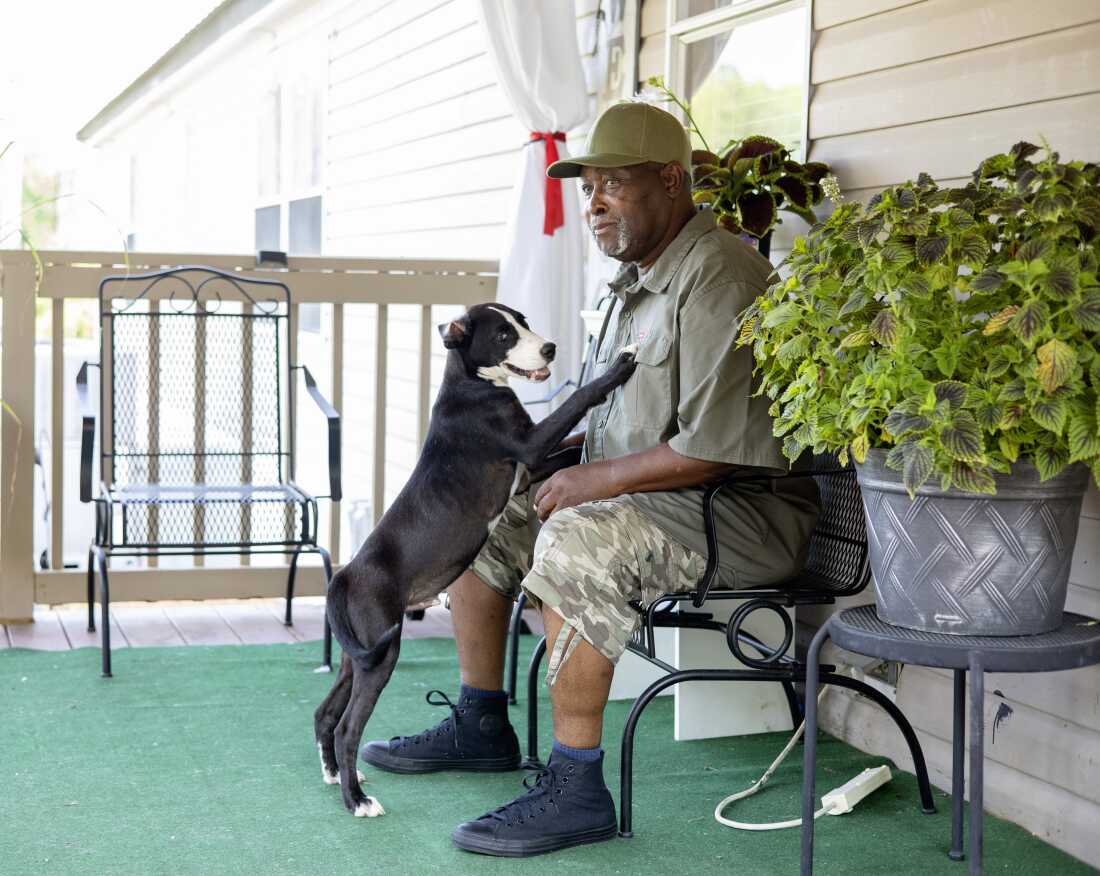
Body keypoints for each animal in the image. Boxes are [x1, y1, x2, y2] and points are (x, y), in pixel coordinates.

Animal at [314, 301, 638, 814]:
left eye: (524, 322)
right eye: (504, 335)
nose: (550, 348)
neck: (468, 384)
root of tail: (343, 577)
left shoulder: (529, 469)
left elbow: (566, 456)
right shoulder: (529, 445)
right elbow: (577, 402)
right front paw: (620, 368)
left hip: (359, 652)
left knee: (325, 712)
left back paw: (333, 775)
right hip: (380, 653)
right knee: (347, 727)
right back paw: (358, 801)